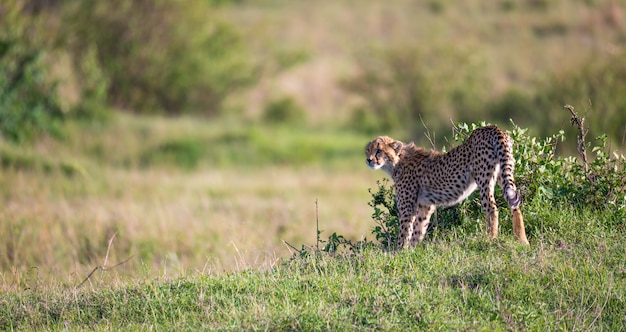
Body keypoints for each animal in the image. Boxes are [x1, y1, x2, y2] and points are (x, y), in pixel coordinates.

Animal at [364, 126, 528, 248]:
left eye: (379, 151)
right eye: (368, 150)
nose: (369, 160)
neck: (396, 162)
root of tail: (493, 127)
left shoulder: (407, 208)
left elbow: (405, 232)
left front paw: (399, 252)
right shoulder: (425, 205)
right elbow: (419, 229)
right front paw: (412, 250)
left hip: (484, 178)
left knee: (492, 208)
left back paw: (490, 239)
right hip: (503, 171)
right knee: (514, 203)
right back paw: (522, 241)